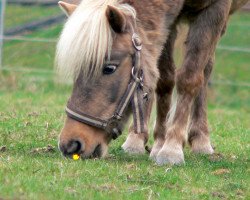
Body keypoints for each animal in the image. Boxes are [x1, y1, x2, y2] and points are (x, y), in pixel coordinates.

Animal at [55, 0, 249, 166]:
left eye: (109, 68)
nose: (71, 144)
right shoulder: (169, 21)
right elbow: (164, 80)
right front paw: (159, 144)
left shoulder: (215, 10)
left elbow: (190, 78)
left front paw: (171, 148)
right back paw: (136, 140)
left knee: (205, 70)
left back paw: (201, 139)